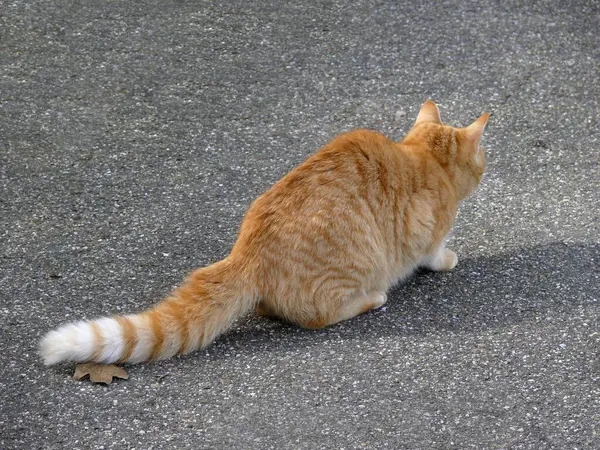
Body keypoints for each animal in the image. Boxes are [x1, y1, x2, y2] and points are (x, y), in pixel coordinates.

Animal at [38, 101, 488, 366]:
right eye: (482, 158)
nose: (486, 166)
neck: (422, 158)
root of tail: (246, 252)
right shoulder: (428, 232)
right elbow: (435, 252)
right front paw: (448, 259)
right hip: (352, 274)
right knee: (318, 316)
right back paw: (372, 298)